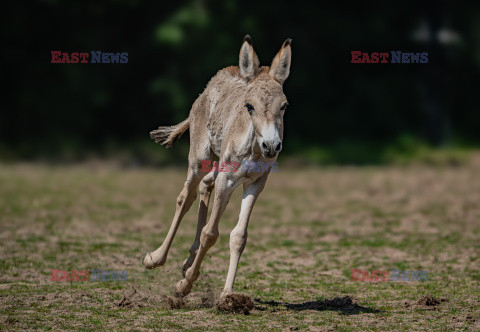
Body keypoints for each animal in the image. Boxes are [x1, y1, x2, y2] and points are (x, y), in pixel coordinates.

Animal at [142, 34, 292, 298]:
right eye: (249, 106)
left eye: (284, 106)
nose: (272, 146)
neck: (253, 148)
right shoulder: (228, 179)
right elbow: (210, 233)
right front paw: (184, 285)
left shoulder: (256, 182)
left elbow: (239, 236)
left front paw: (227, 295)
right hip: (199, 159)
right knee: (186, 197)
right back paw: (156, 258)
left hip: (217, 166)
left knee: (203, 187)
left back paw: (188, 261)